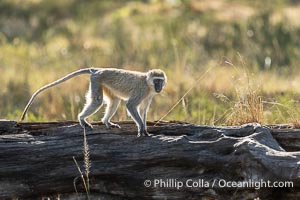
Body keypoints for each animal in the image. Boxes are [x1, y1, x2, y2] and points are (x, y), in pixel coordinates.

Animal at [20, 68, 168, 137]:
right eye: (156, 80)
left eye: (160, 81)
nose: (159, 88)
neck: (148, 84)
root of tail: (97, 70)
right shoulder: (141, 91)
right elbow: (130, 105)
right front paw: (141, 129)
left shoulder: (149, 95)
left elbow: (143, 111)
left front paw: (145, 130)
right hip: (96, 80)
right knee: (97, 101)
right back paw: (82, 119)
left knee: (114, 101)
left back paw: (106, 122)